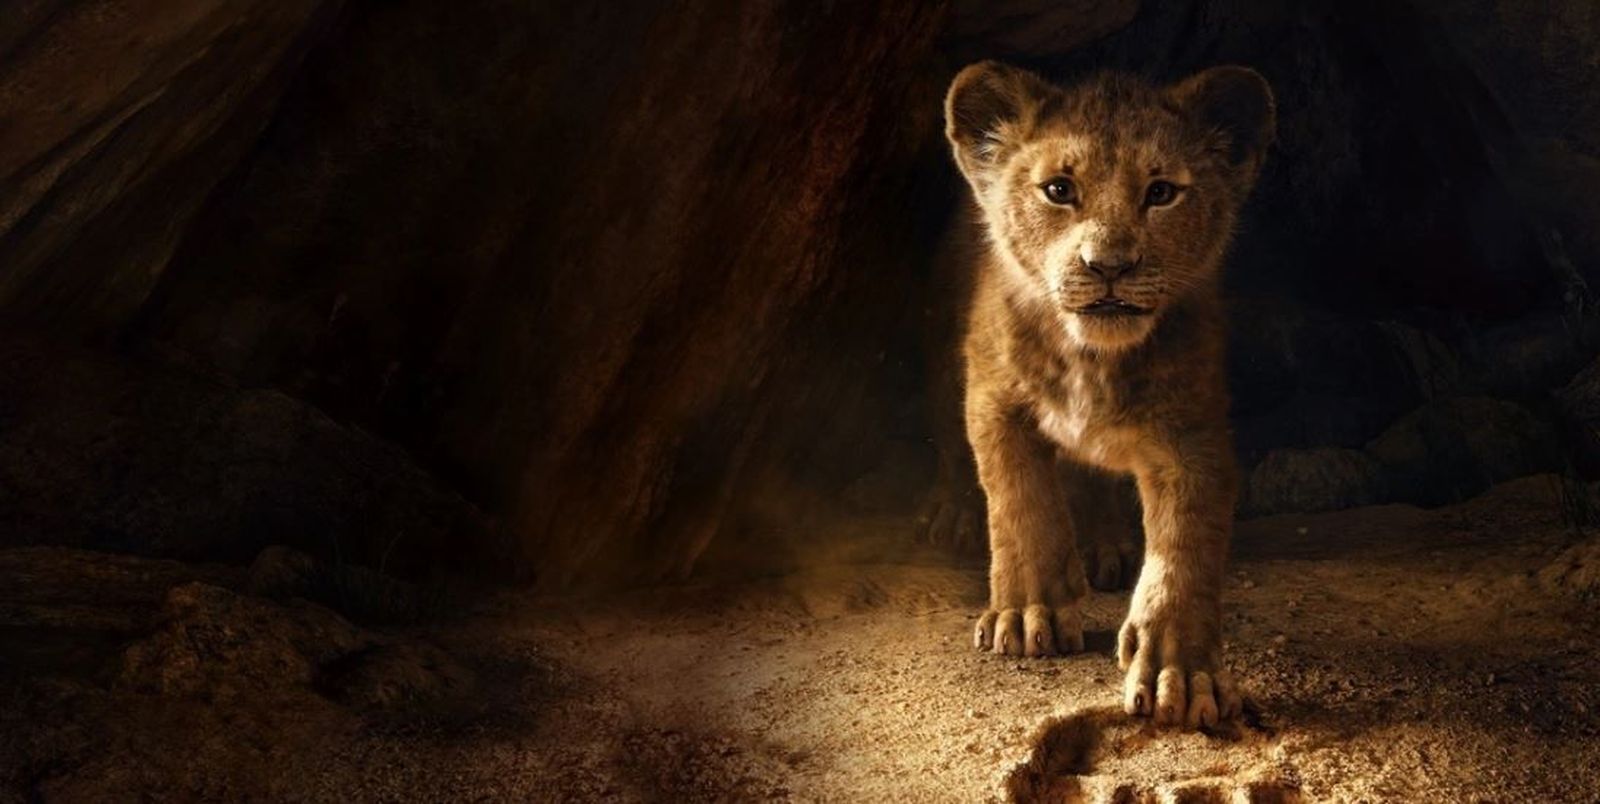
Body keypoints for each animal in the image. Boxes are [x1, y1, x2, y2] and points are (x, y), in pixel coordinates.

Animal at [943, 62, 1275, 730]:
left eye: (1162, 192)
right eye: (1058, 190)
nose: (1110, 266)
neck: (1092, 357)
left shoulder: (1192, 433)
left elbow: (1184, 548)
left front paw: (1182, 673)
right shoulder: (993, 398)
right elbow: (1021, 503)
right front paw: (1028, 614)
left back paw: (1106, 546)